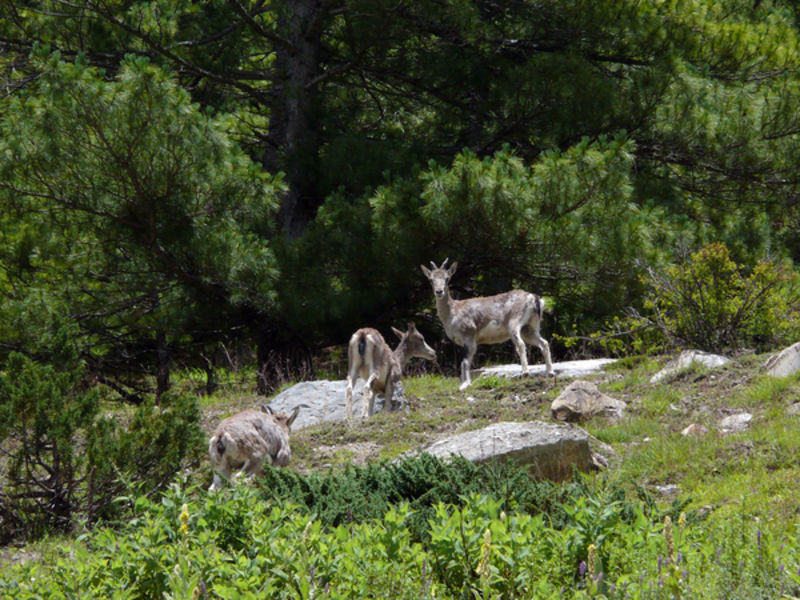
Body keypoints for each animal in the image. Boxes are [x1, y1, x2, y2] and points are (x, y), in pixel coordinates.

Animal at [422, 258, 552, 392]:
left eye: (447, 278)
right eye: (431, 279)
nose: (439, 291)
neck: (452, 312)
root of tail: (534, 298)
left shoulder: (469, 334)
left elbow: (465, 362)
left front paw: (465, 385)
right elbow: (465, 361)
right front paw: (463, 383)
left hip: (514, 323)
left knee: (521, 344)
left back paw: (525, 373)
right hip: (530, 328)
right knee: (544, 343)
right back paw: (550, 372)